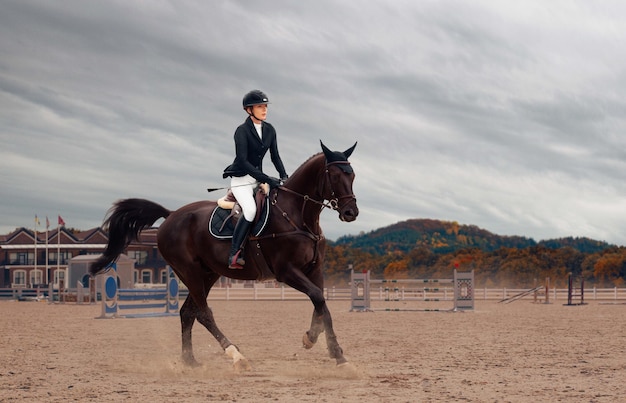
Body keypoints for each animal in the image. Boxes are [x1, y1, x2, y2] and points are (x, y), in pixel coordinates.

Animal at [90, 142, 358, 372]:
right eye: (335, 176)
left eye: (352, 176)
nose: (351, 212)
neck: (297, 216)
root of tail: (170, 214)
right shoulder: (287, 271)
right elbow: (318, 299)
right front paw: (336, 354)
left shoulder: (314, 269)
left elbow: (321, 304)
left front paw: (315, 341)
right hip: (189, 272)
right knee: (203, 313)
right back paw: (236, 355)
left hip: (208, 274)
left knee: (188, 313)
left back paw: (190, 361)